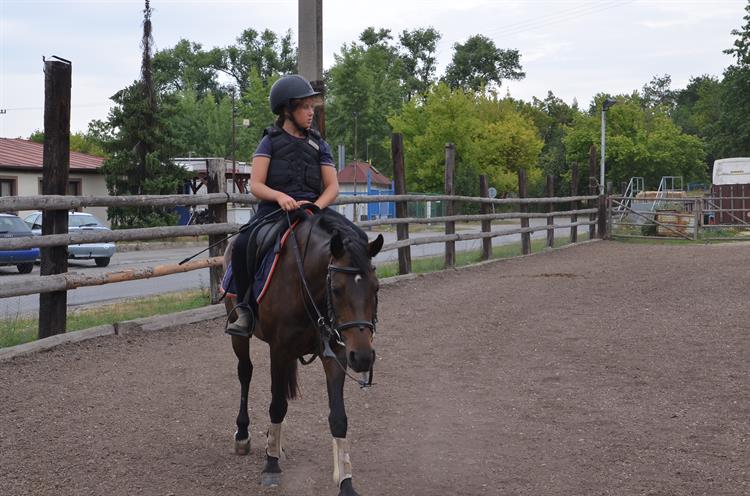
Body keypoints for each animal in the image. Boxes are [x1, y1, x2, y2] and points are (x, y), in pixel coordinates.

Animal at [228, 206, 382, 496]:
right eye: (337, 289)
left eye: (376, 287)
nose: (363, 357)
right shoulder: (278, 350)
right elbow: (276, 406)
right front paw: (271, 465)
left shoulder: (336, 353)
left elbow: (338, 418)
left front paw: (345, 481)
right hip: (239, 334)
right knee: (245, 373)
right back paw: (243, 435)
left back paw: (275, 442)